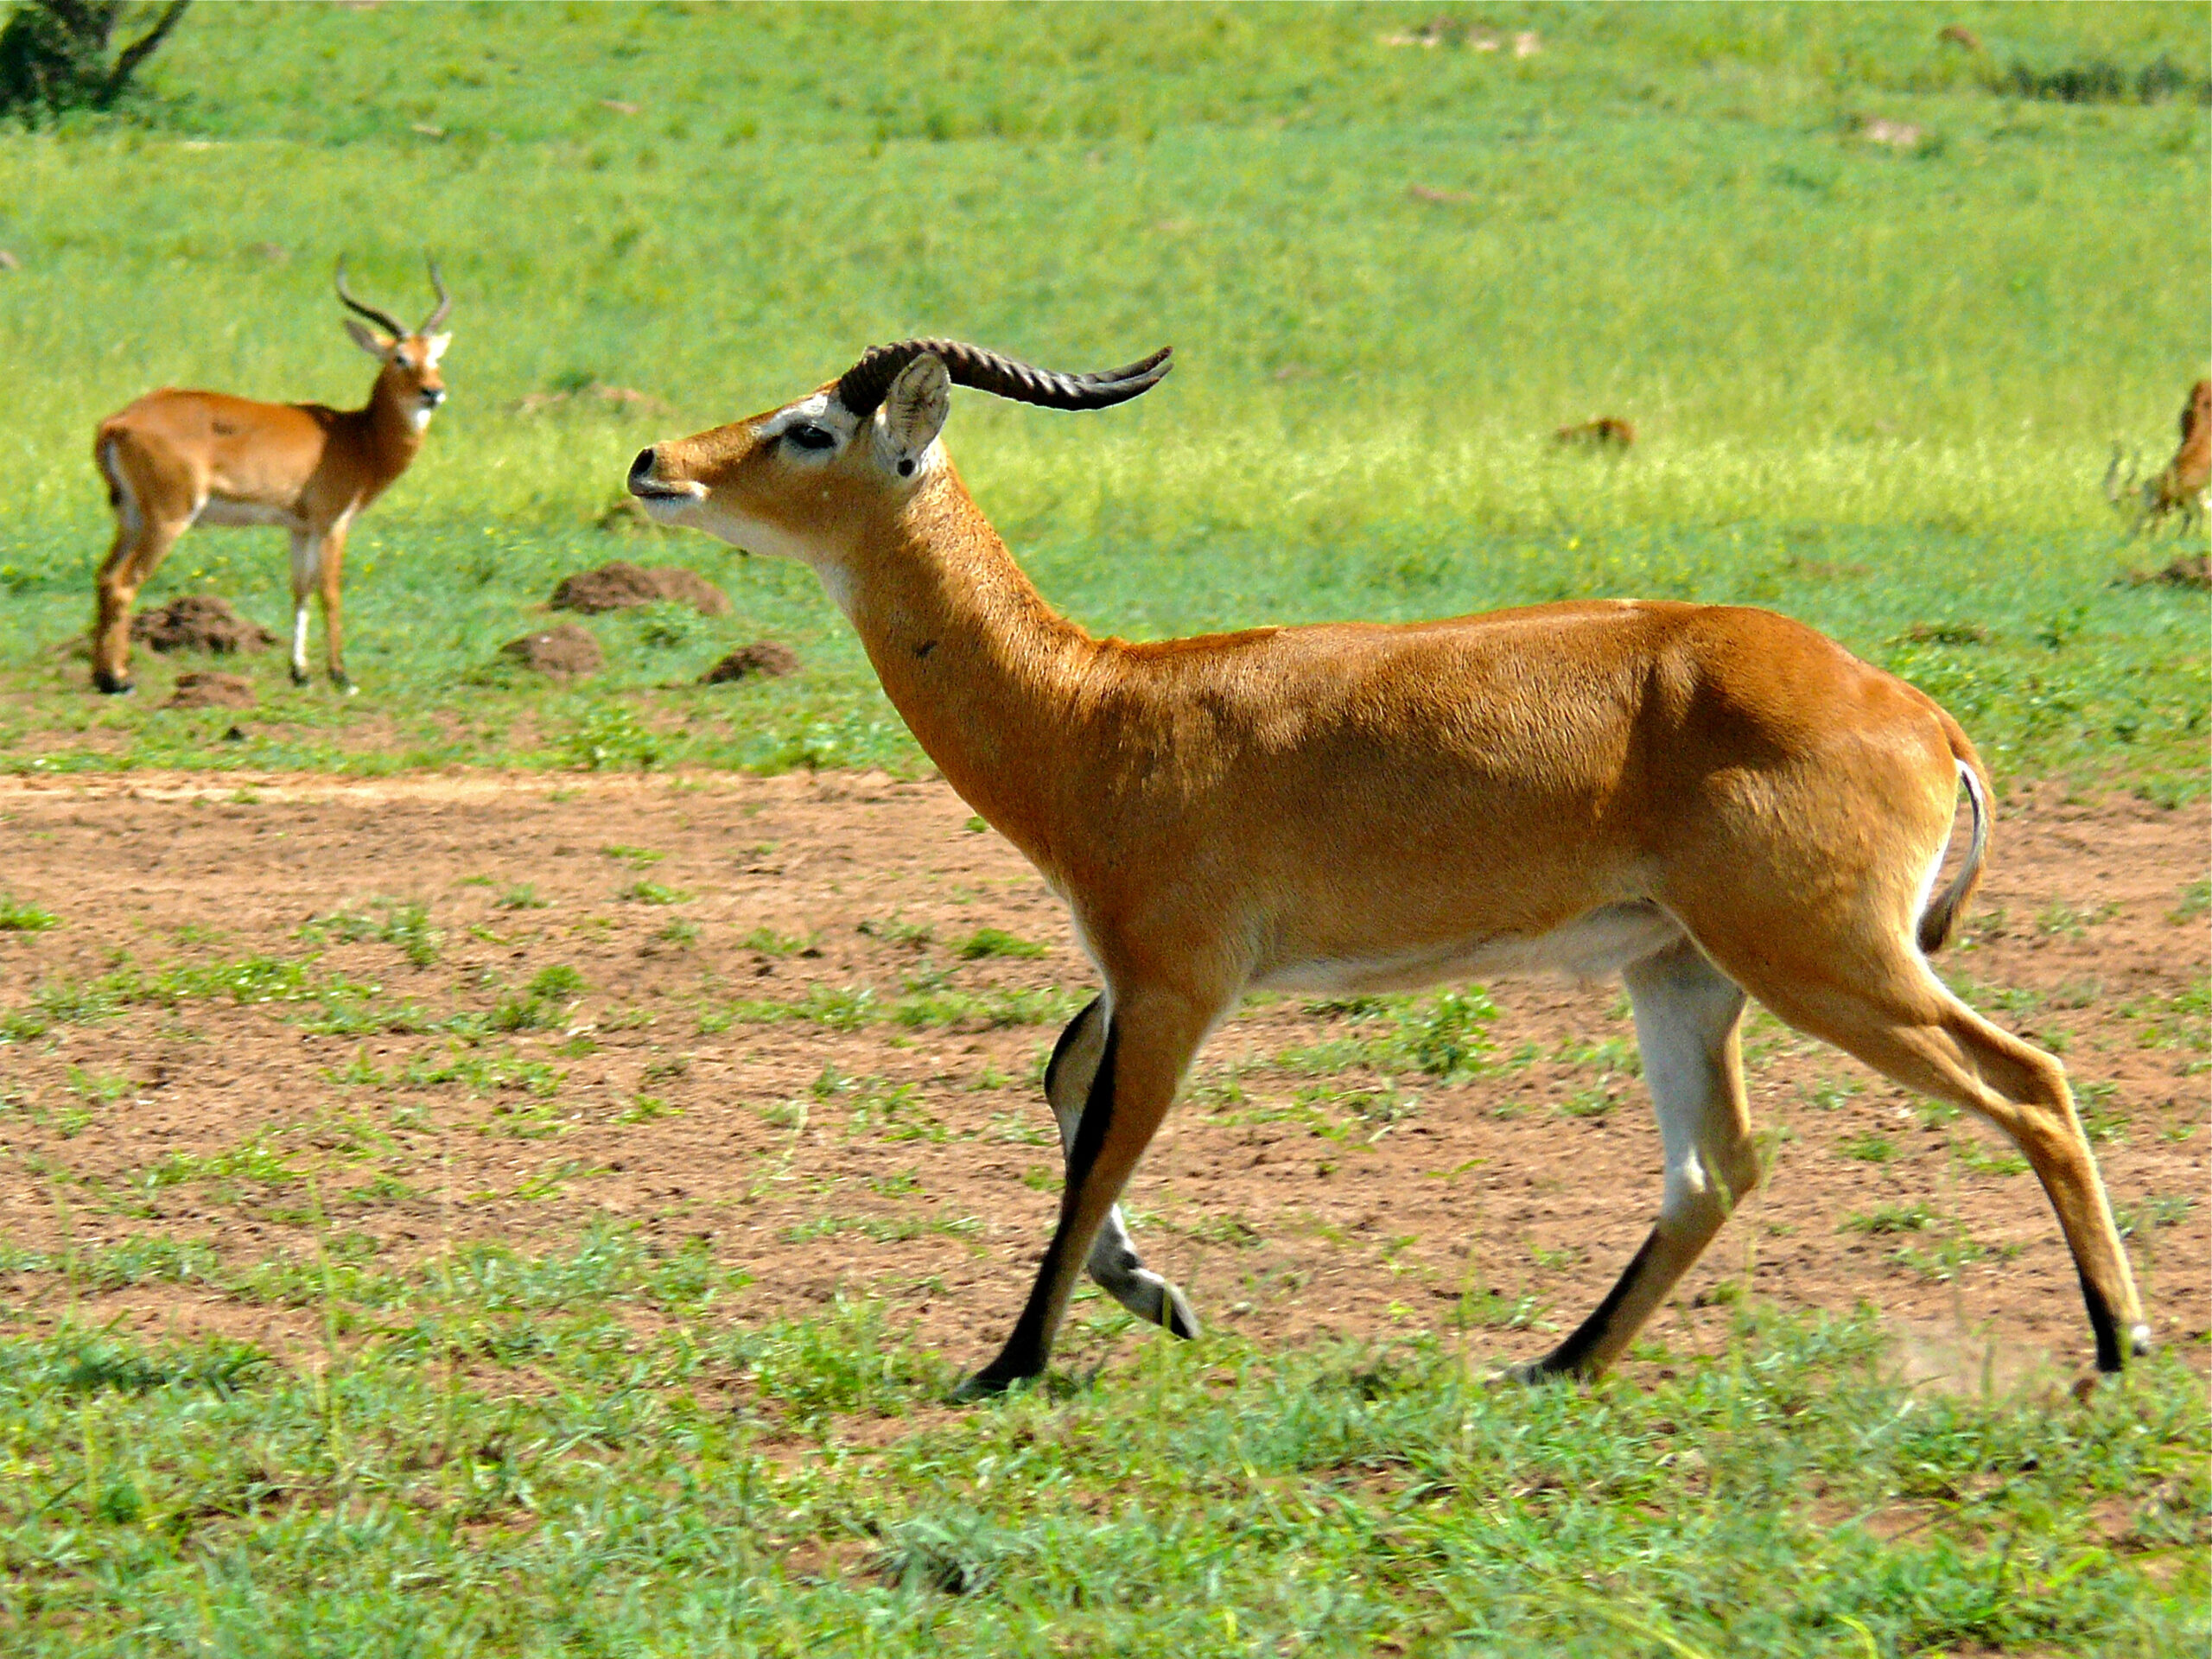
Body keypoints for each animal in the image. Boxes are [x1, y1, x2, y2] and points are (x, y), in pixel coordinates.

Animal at [89, 258, 453, 694]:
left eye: (435, 357)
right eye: (399, 357)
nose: (434, 392)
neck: (358, 437)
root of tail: (120, 420)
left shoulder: (300, 528)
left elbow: (300, 589)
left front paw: (300, 672)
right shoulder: (333, 523)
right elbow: (330, 591)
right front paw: (341, 676)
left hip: (130, 517)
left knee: (104, 577)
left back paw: (101, 675)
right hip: (168, 519)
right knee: (124, 583)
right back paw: (119, 680)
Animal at [632, 338, 2150, 1407]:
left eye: (811, 426)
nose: (653, 460)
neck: (1099, 707)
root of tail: (1917, 712)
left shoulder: (1178, 980)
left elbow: (1101, 1135)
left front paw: (1013, 1362)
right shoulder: (1135, 975)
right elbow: (1063, 1081)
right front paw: (1157, 1293)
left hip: (1825, 959)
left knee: (2030, 1081)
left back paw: (2121, 1344)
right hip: (1685, 973)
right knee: (1714, 1169)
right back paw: (1555, 1364)